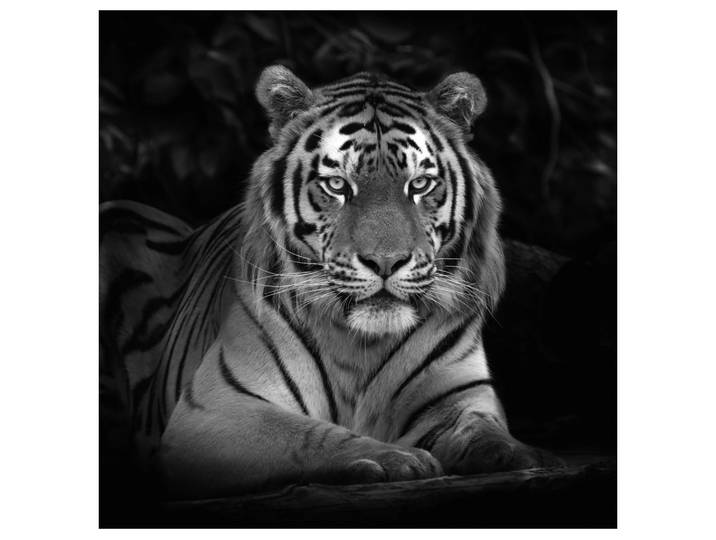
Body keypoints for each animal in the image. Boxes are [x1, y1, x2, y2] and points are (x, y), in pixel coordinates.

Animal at [99, 65, 562, 499]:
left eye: (420, 184)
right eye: (338, 185)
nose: (386, 261)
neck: (363, 346)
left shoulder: (458, 398)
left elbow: (483, 431)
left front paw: (523, 455)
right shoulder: (217, 407)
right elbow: (306, 435)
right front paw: (396, 458)